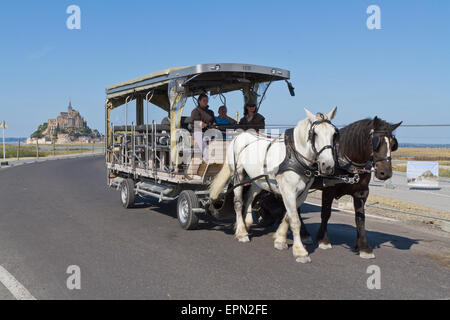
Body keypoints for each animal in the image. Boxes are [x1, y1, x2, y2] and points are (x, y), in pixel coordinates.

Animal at [210, 107, 338, 262]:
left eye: (334, 133)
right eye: (315, 134)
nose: (328, 166)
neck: (296, 157)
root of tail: (238, 137)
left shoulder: (302, 194)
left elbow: (288, 217)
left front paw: (280, 239)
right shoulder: (288, 191)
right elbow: (295, 220)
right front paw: (300, 251)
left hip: (257, 180)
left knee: (249, 198)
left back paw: (246, 223)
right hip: (238, 175)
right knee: (238, 202)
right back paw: (241, 232)